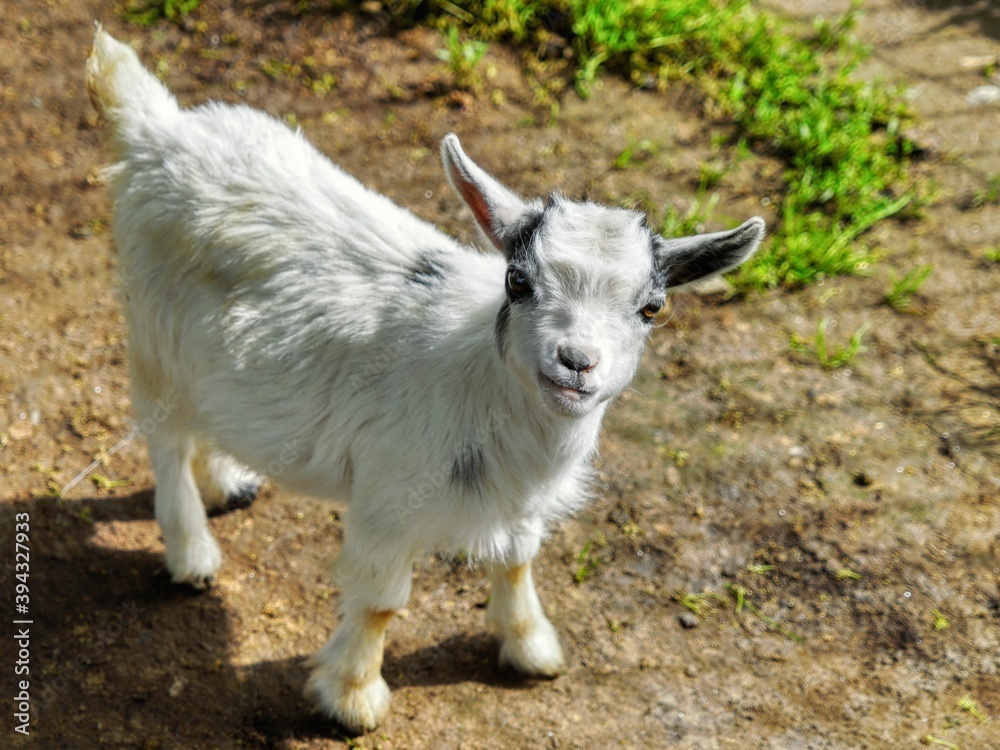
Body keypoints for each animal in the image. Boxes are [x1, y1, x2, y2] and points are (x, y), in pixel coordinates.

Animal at [85, 27, 764, 733]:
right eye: (517, 281)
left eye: (651, 307)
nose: (576, 361)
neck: (487, 389)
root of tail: (155, 129)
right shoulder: (388, 500)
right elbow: (381, 602)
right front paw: (353, 696)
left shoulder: (520, 503)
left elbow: (518, 561)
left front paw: (531, 646)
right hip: (154, 335)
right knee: (165, 437)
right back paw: (192, 552)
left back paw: (228, 480)